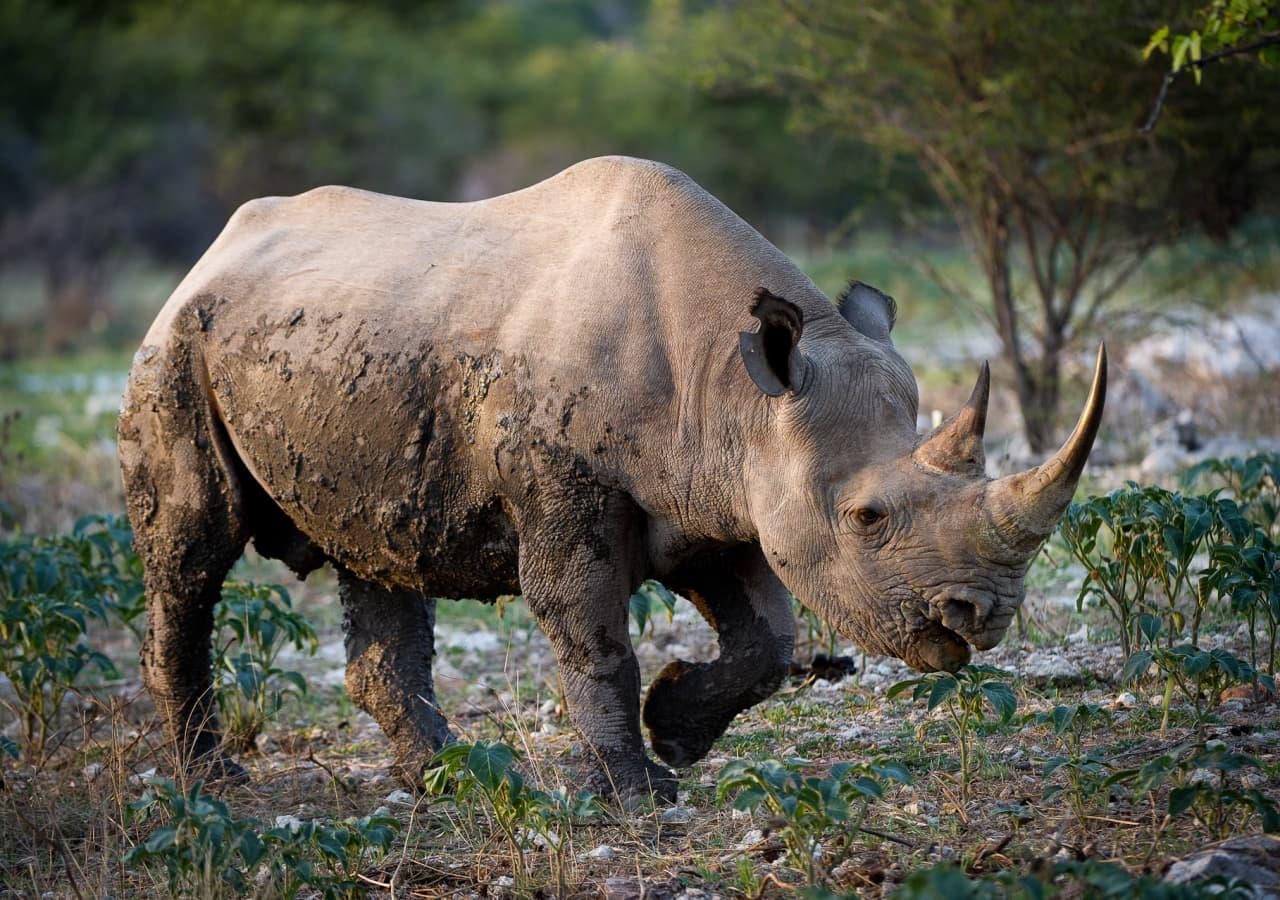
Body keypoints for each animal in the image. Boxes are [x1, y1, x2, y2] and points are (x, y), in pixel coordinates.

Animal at [115, 156, 1105, 803]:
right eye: (866, 518)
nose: (983, 616)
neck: (739, 389)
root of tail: (209, 254)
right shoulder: (571, 482)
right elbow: (591, 631)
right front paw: (633, 796)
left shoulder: (720, 493)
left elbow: (768, 639)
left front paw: (676, 731)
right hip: (177, 346)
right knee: (192, 557)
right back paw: (214, 779)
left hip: (342, 356)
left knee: (380, 550)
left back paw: (451, 778)